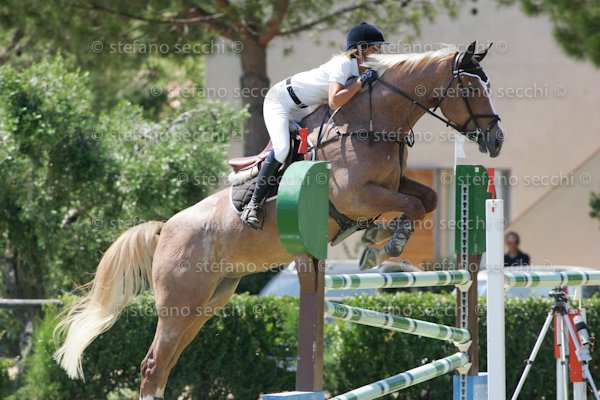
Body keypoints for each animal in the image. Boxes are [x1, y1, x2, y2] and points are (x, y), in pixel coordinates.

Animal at [54, 41, 504, 399]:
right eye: (470, 88)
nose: (496, 141)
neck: (371, 122)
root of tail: (166, 228)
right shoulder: (357, 196)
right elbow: (410, 206)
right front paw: (384, 245)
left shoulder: (391, 186)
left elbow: (425, 199)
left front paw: (380, 241)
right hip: (180, 304)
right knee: (152, 366)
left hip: (208, 303)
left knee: (164, 363)